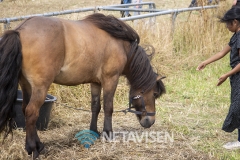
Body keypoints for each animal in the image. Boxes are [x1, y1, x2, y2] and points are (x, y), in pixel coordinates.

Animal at [0, 13, 165, 159]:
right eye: (154, 94)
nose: (150, 121)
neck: (121, 45)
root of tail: (20, 30)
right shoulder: (110, 79)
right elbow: (108, 107)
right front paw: (108, 133)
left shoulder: (96, 82)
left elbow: (95, 107)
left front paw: (94, 131)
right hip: (40, 88)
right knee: (32, 113)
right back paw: (34, 149)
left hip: (27, 85)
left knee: (25, 110)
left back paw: (38, 146)